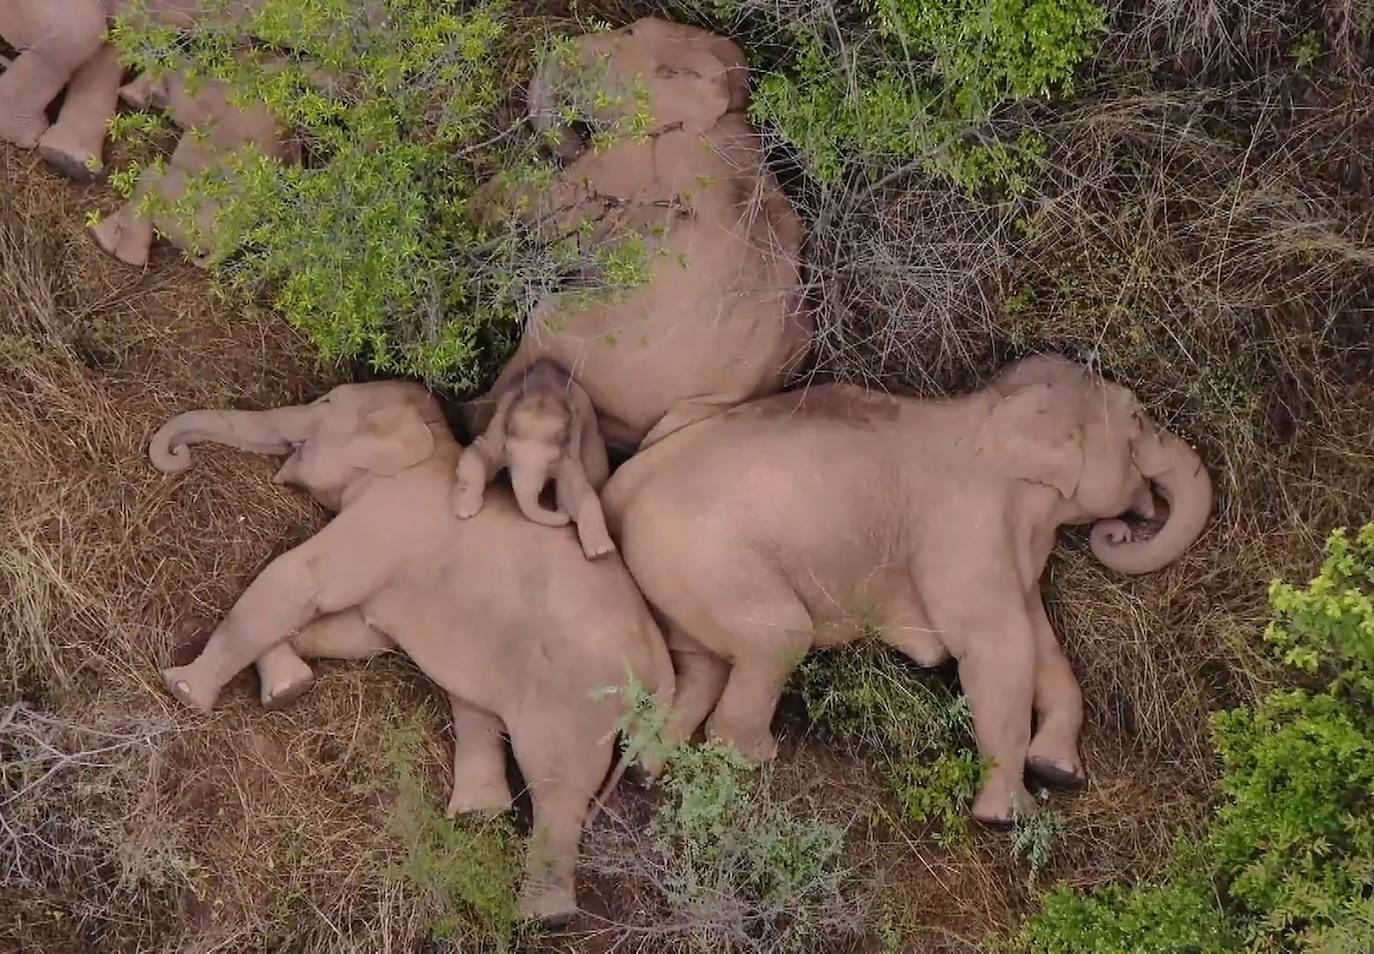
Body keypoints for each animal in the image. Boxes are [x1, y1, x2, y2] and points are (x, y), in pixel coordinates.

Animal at [147, 379, 675, 923]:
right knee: (479, 710)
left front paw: (183, 688)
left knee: (556, 780)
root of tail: (661, 662)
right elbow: (358, 633)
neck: (432, 442)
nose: (178, 456)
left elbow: (301, 580)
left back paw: (542, 915)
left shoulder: (386, 518)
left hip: (578, 696)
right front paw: (287, 688)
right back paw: (477, 816)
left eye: (324, 404)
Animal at [453, 359, 615, 560]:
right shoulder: (496, 430)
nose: (562, 513)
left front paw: (601, 552)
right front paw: (464, 512)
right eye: (508, 452)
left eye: (552, 461)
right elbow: (478, 453)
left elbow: (578, 489)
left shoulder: (570, 452)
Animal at [602, 354, 1214, 824]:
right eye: (1139, 418)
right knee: (777, 639)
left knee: (700, 665)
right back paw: (754, 758)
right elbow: (996, 646)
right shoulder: (962, 529)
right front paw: (1007, 818)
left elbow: (1041, 646)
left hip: (676, 577)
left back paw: (646, 773)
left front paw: (1058, 772)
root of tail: (621, 487)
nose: (1120, 530)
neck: (992, 409)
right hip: (705, 558)